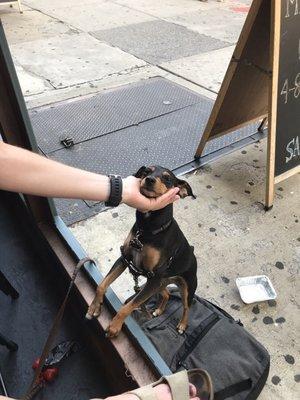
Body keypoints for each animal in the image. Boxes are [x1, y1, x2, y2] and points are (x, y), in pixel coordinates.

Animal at [86, 166, 197, 338]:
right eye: (146, 171)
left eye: (167, 178)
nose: (149, 179)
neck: (148, 229)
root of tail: (192, 253)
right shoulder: (125, 260)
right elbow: (102, 285)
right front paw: (94, 307)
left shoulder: (154, 277)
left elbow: (130, 305)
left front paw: (115, 326)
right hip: (160, 283)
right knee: (166, 294)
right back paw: (159, 310)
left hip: (186, 287)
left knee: (186, 307)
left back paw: (182, 325)